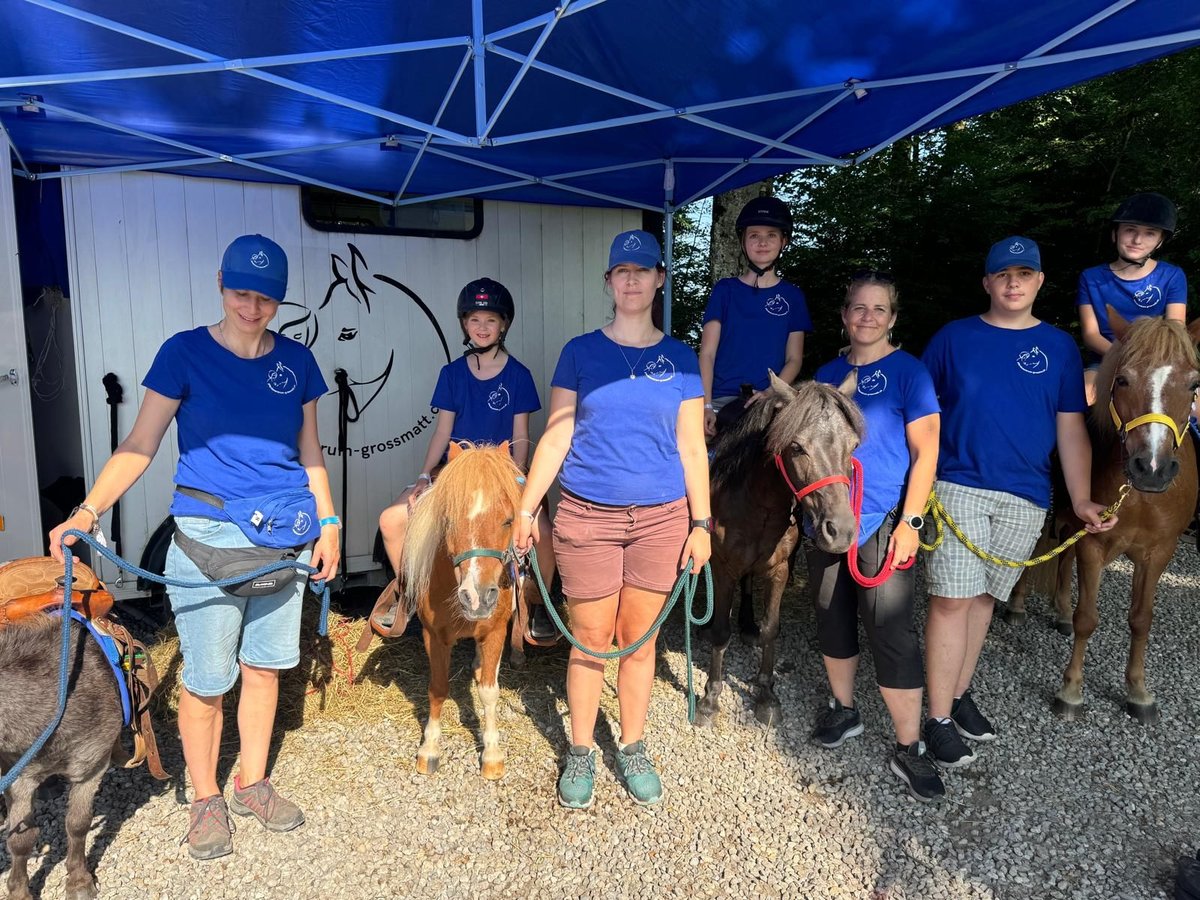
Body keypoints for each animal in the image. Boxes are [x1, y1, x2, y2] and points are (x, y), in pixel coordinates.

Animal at [2, 619, 126, 900]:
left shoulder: (92, 767)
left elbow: (78, 824)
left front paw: (79, 881)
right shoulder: (19, 780)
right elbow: (20, 841)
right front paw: (19, 892)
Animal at [405, 441, 523, 777]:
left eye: (508, 520)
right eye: (449, 520)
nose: (477, 597)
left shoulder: (495, 631)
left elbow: (489, 691)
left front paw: (492, 753)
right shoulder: (434, 636)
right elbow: (438, 688)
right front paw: (430, 747)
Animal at [696, 369, 864, 729]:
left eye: (853, 445)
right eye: (797, 446)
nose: (841, 531)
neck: (755, 502)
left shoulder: (779, 569)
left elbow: (771, 629)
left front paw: (766, 696)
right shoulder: (724, 567)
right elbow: (721, 632)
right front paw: (710, 699)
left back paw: (747, 625)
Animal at [1022, 316, 1200, 724]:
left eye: (1194, 385)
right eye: (1122, 380)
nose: (1153, 468)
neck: (1139, 496)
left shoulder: (1158, 553)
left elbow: (1141, 619)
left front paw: (1138, 691)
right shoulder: (1094, 543)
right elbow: (1088, 618)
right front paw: (1071, 691)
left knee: (1062, 552)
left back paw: (1060, 611)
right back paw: (1017, 604)